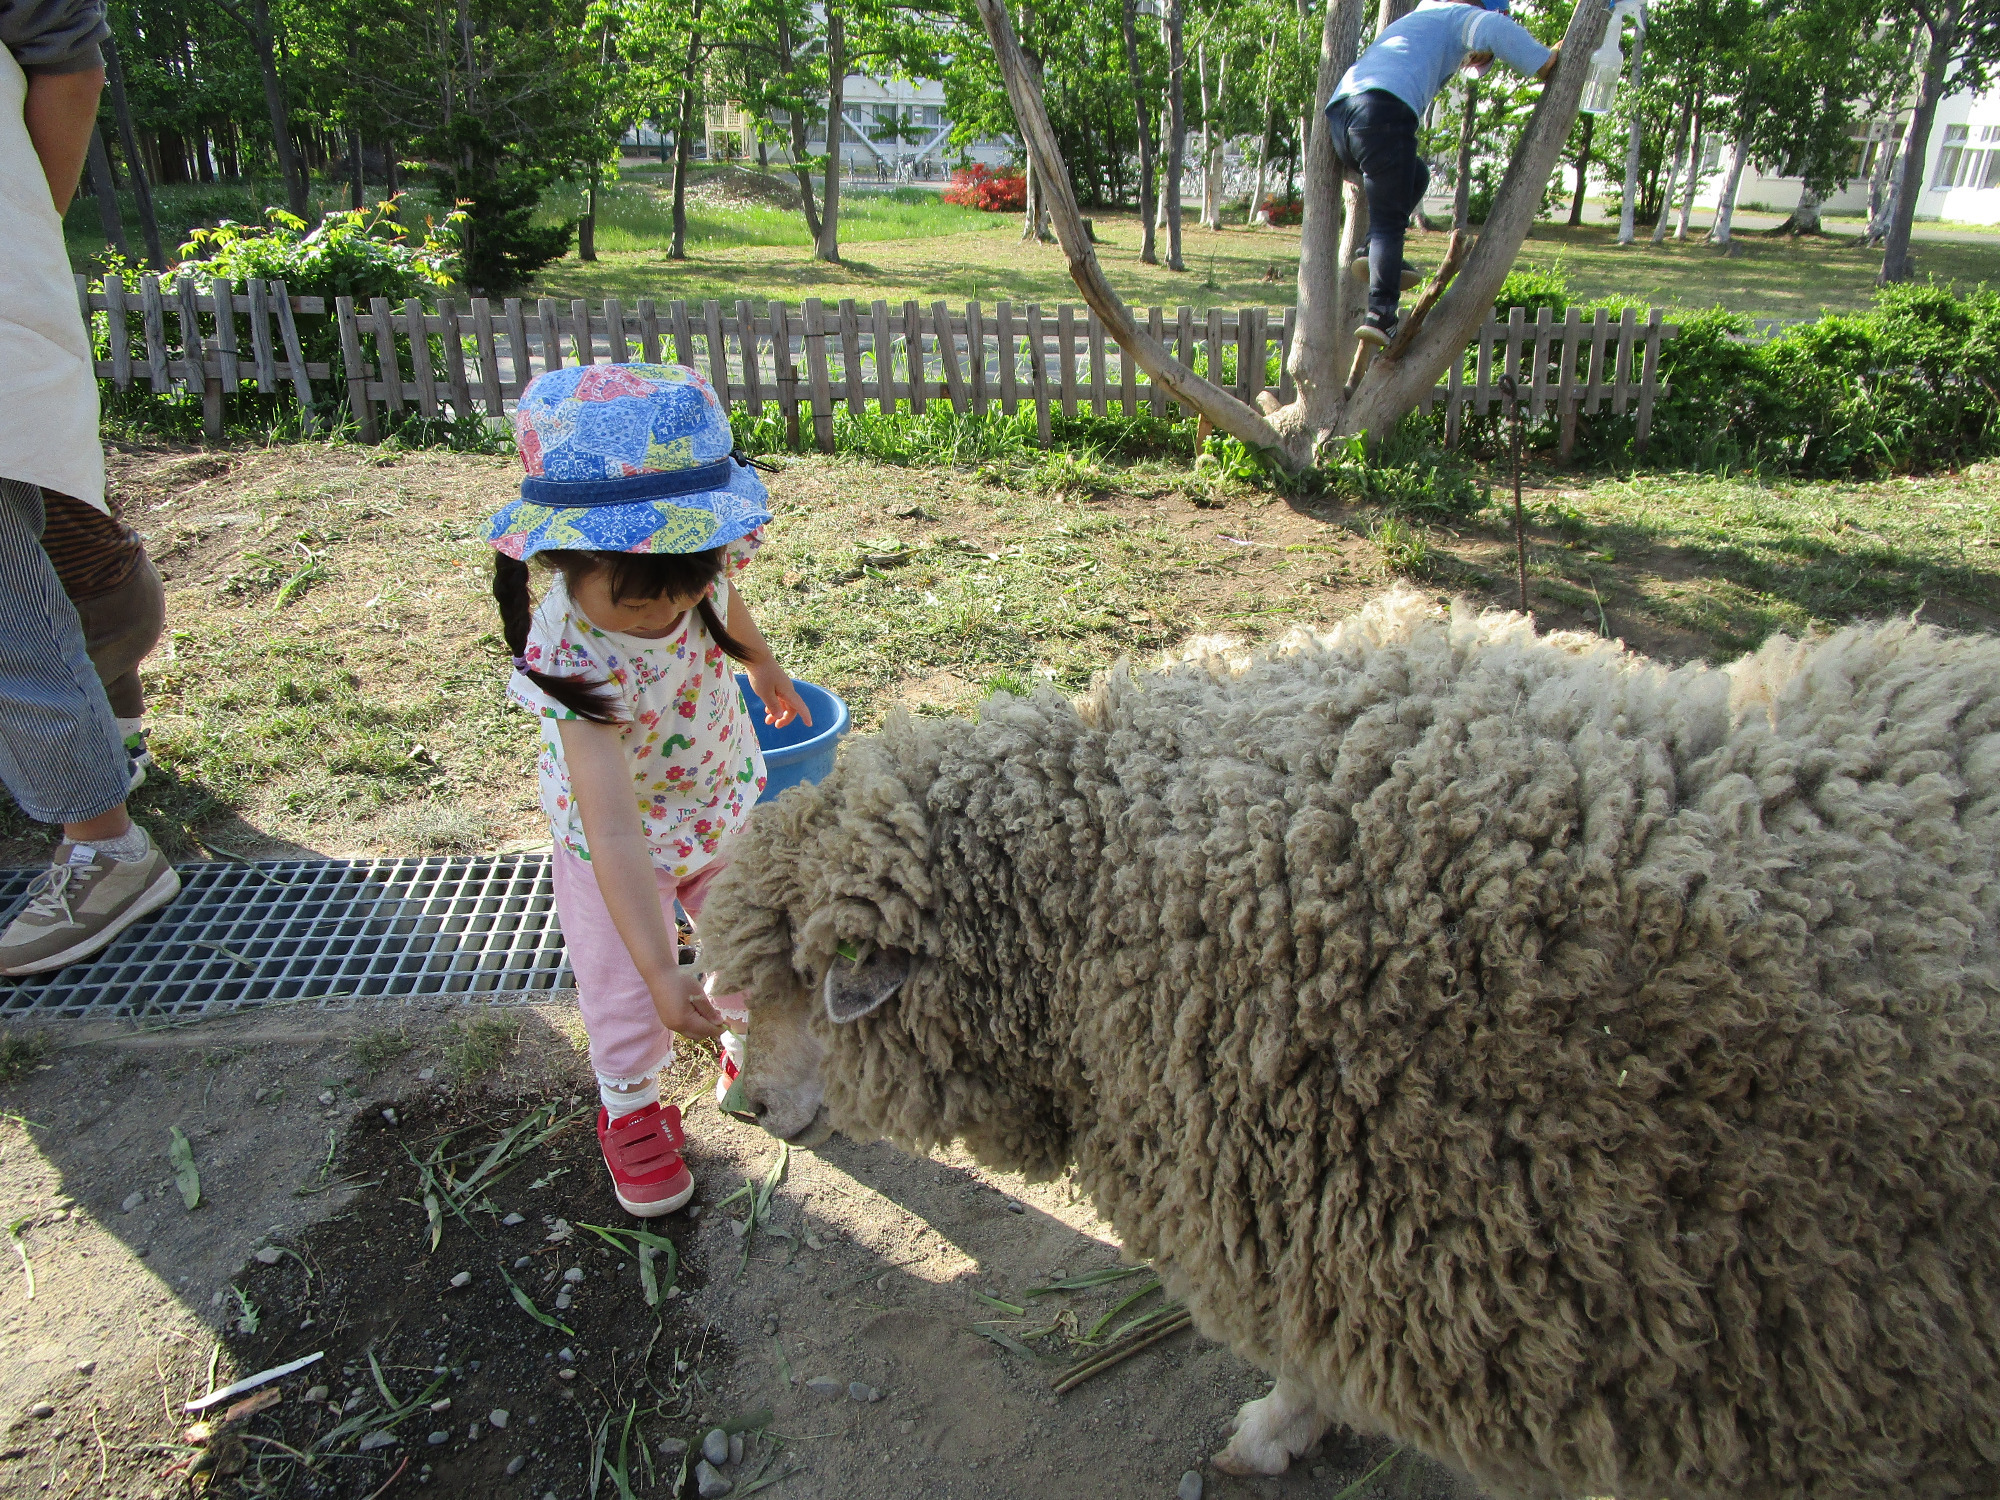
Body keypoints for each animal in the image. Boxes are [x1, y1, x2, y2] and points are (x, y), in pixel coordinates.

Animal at [700, 592, 2000, 1500]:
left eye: (803, 985)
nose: (743, 1109)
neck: (1095, 903)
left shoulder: (1327, 1221)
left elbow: (1305, 1364)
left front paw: (1272, 1434)